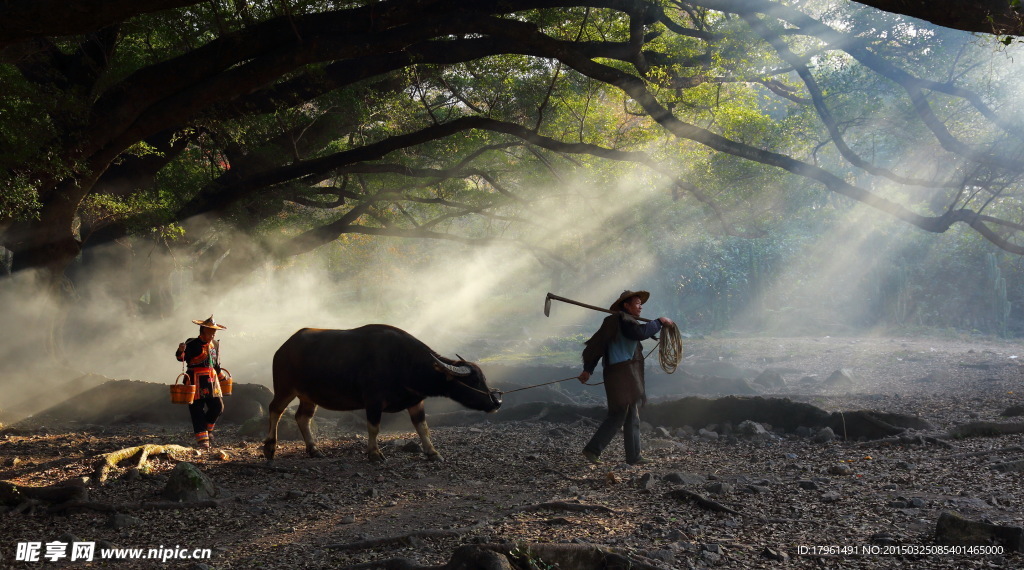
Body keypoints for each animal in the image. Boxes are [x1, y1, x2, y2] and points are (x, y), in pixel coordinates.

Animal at [264, 321, 499, 460]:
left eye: (483, 378)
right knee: (275, 409)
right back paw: (270, 448)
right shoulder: (373, 401)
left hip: (308, 395)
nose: (497, 402)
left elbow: (422, 427)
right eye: (475, 380)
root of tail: (283, 348)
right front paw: (374, 453)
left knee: (302, 417)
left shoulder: (416, 401)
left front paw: (433, 452)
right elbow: (374, 427)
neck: (404, 363)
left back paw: (314, 449)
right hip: (285, 388)